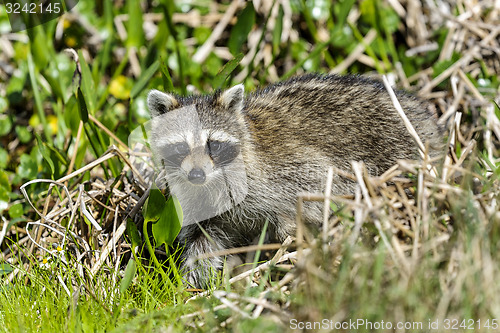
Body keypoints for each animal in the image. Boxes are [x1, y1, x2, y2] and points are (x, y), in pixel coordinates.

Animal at [146, 74, 444, 286]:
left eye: (214, 145)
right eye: (181, 147)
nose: (196, 175)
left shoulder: (287, 170)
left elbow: (314, 188)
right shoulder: (202, 205)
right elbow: (202, 242)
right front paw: (190, 285)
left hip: (399, 148)